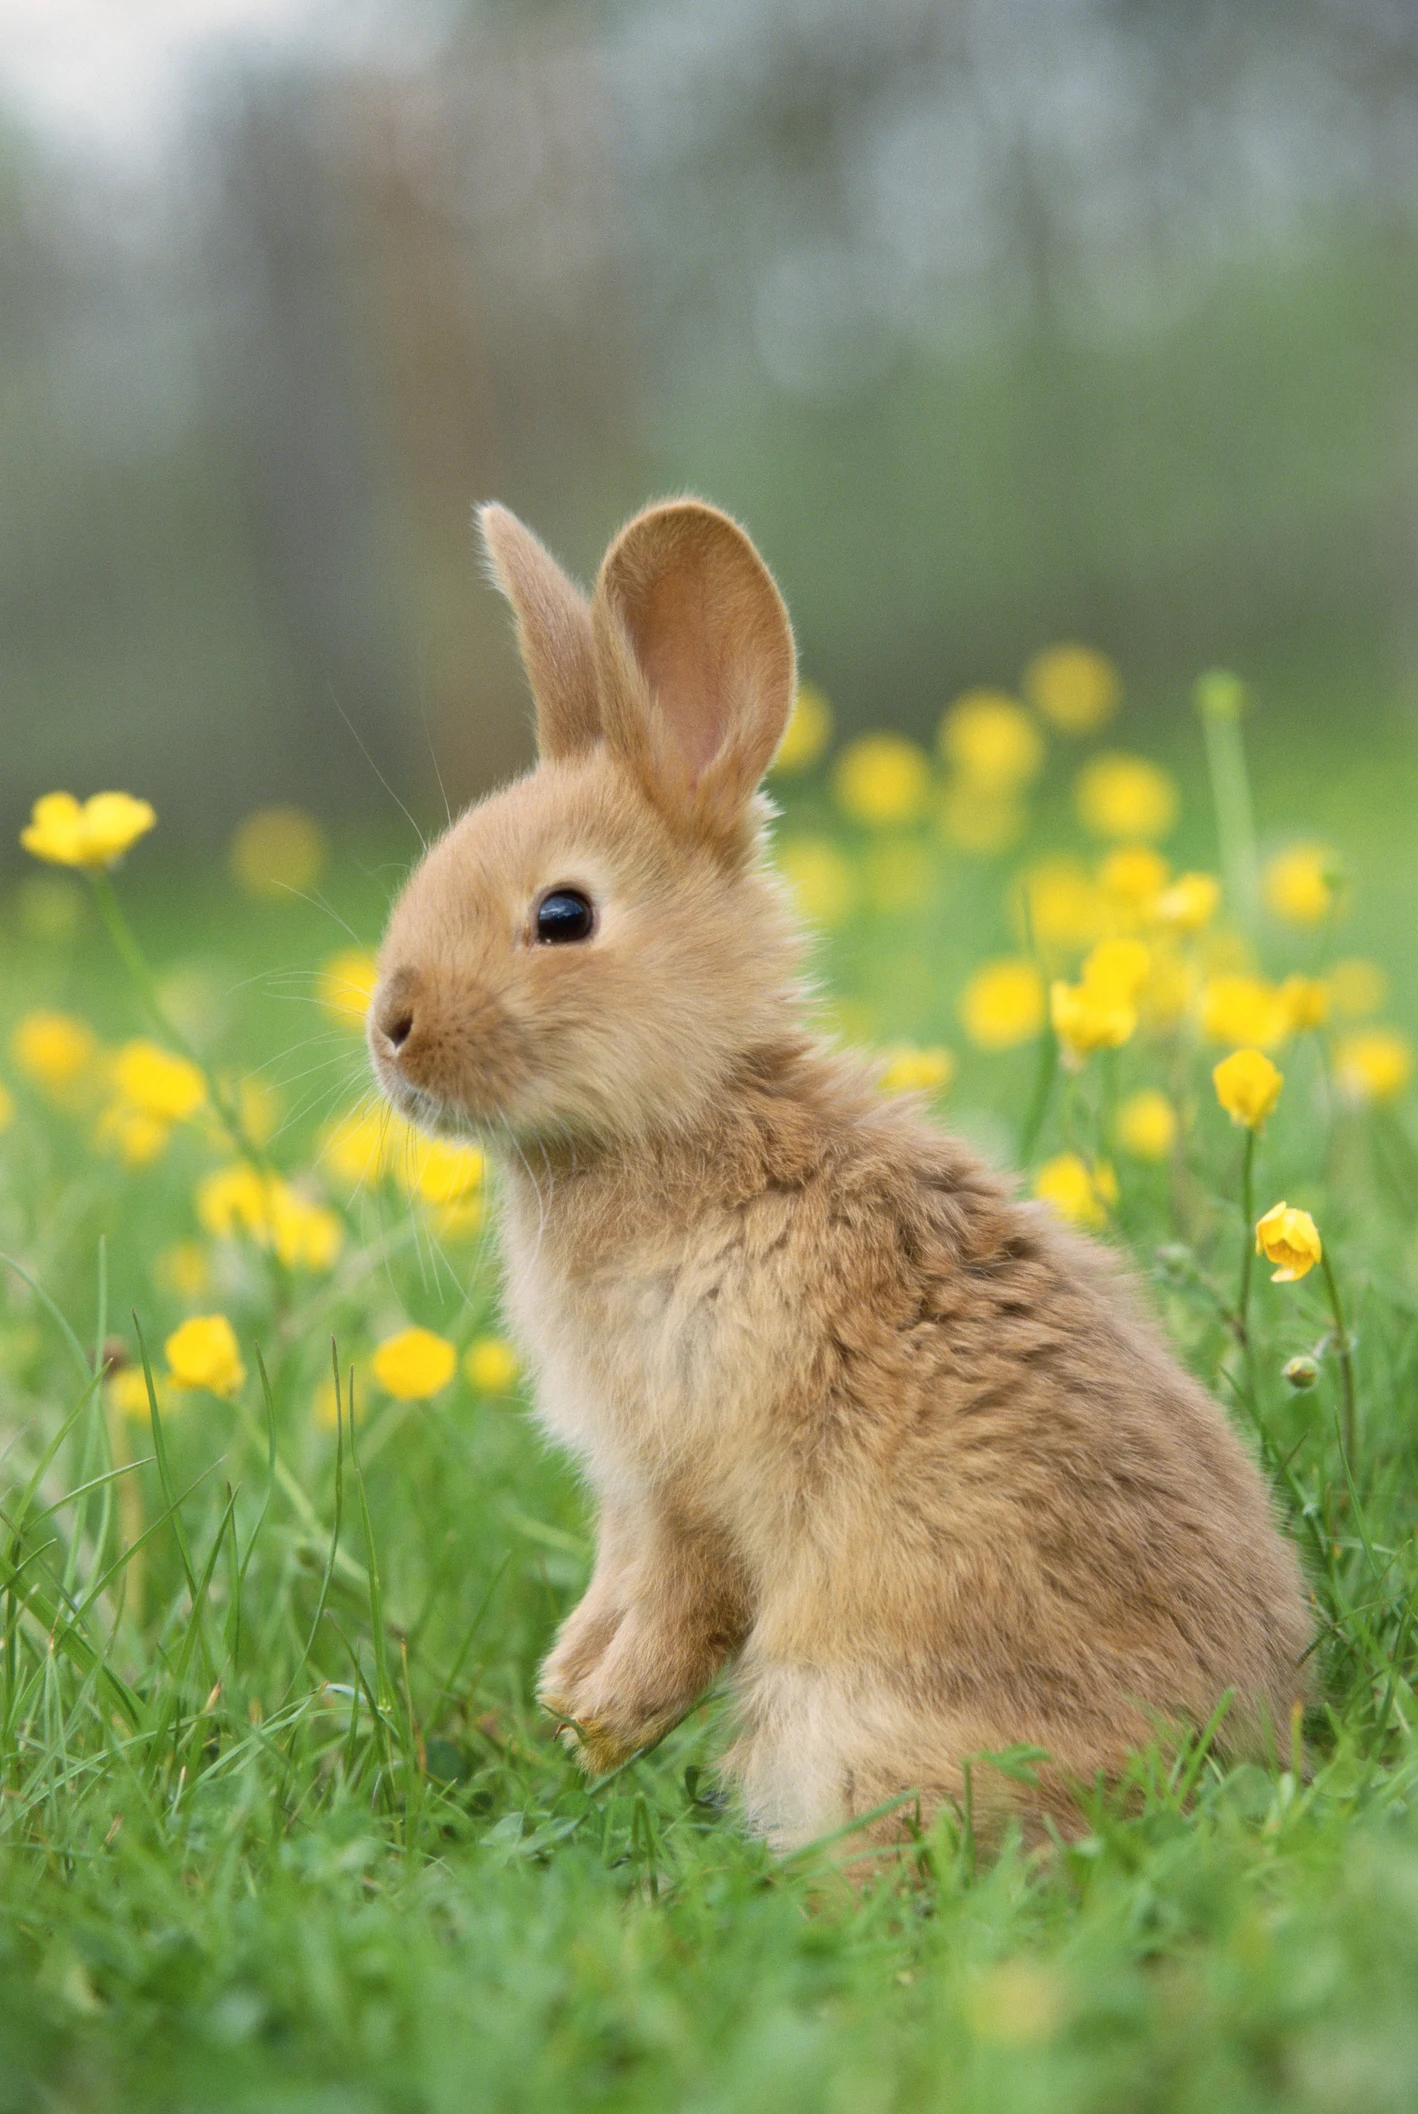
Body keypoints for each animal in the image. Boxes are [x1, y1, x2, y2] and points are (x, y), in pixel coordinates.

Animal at [367, 496, 1312, 1856]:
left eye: (561, 915)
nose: (386, 1029)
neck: (684, 1121)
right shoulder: (627, 1490)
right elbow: (616, 1575)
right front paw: (565, 1687)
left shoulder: (694, 1467)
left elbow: (683, 1597)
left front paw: (595, 1719)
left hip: (849, 1711)